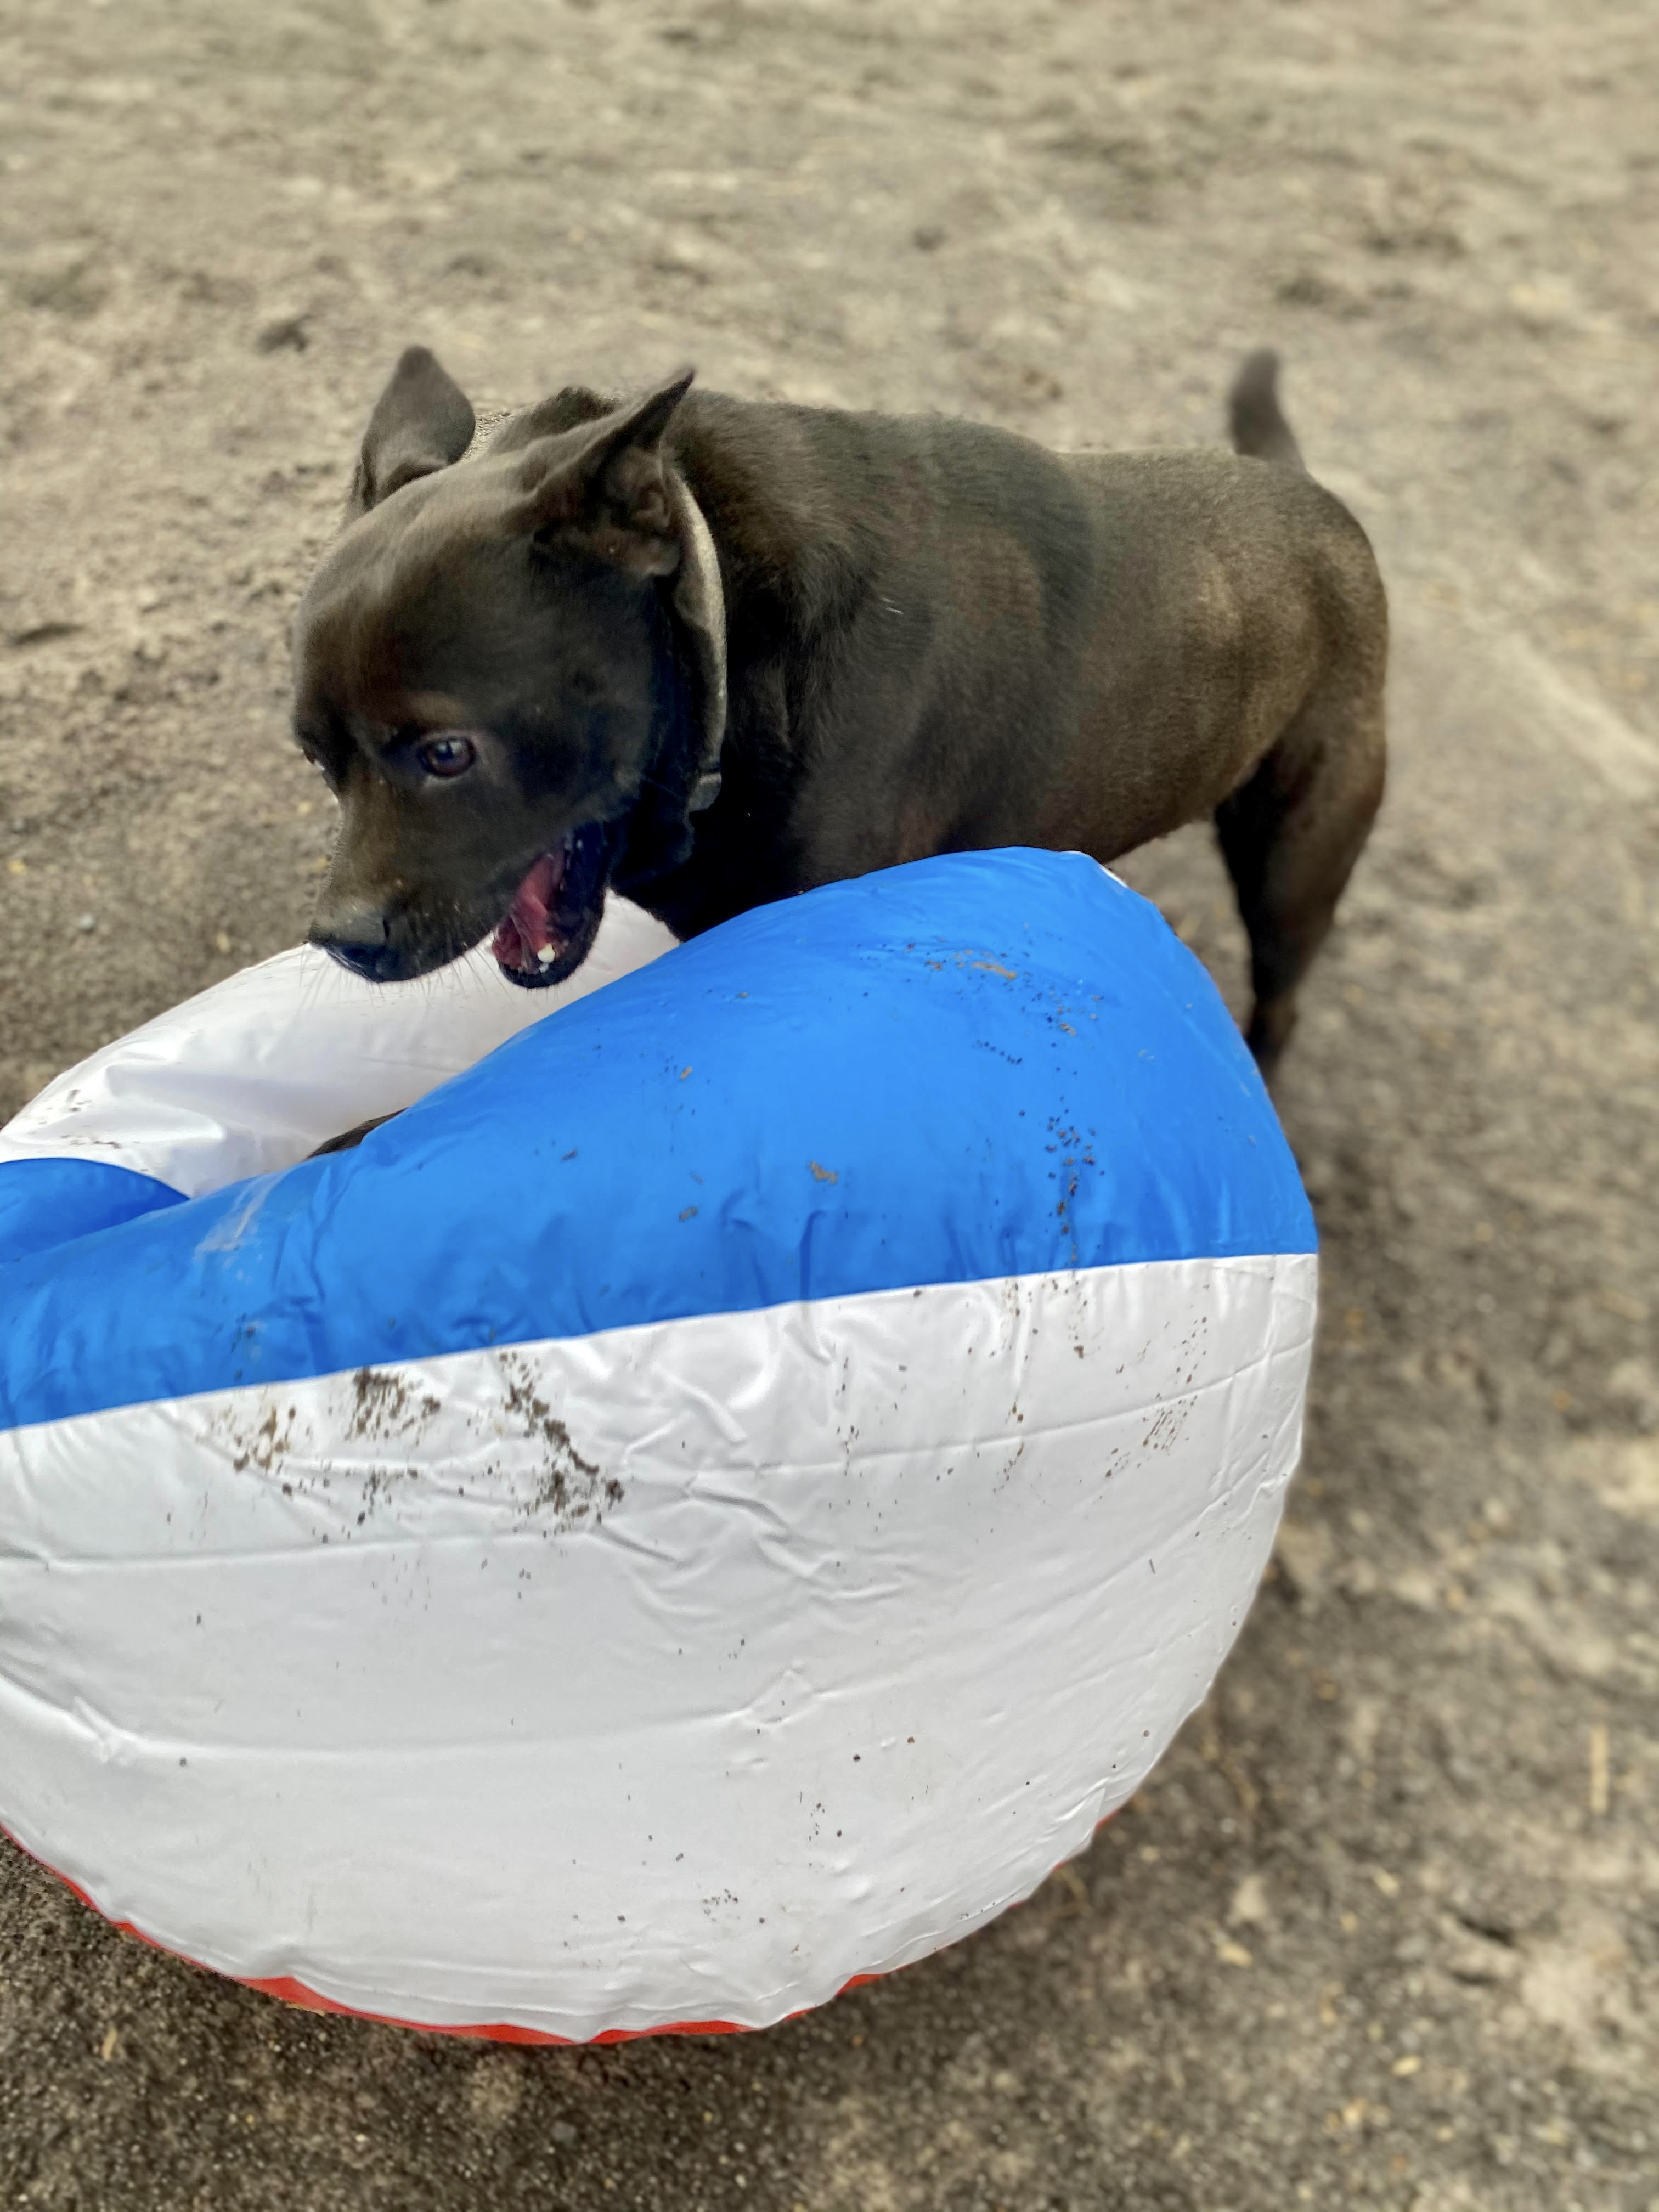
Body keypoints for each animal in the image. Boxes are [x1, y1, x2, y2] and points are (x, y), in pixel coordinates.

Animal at [292, 342, 1380, 1070]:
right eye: (314, 756)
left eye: (446, 753)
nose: (340, 939)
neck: (730, 642)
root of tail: (1315, 498)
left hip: (1293, 865)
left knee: (1280, 996)